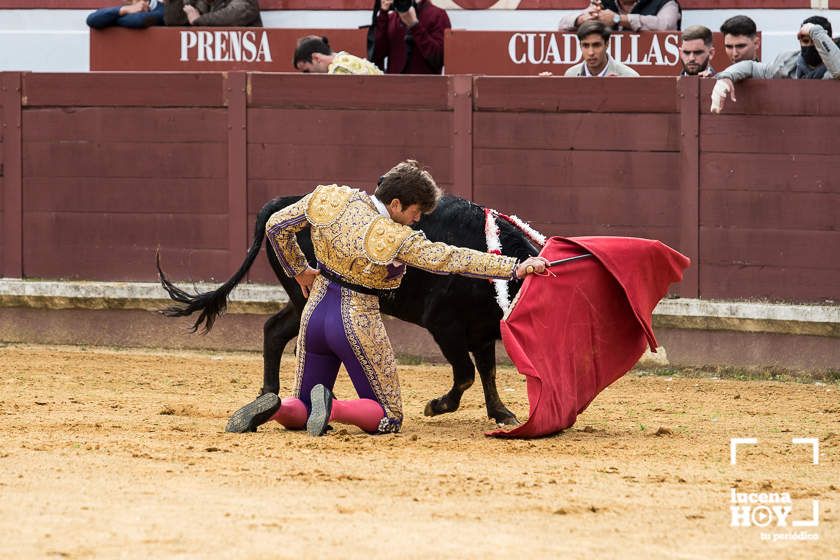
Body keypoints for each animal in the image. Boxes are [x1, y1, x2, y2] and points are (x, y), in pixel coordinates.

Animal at [158, 195, 540, 422]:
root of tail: (284, 202)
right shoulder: (444, 327)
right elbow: (466, 373)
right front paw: (437, 406)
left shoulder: (481, 331)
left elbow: (488, 372)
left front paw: (502, 413)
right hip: (304, 294)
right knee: (286, 335)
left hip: (300, 297)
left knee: (275, 330)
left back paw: (269, 393)